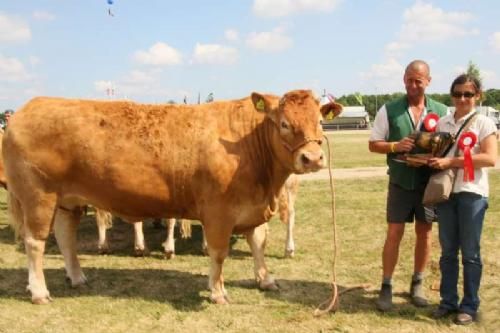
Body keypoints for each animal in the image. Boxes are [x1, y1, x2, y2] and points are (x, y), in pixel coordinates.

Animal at [3, 90, 342, 304]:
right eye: (284, 124)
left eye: (319, 121)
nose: (312, 159)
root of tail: (27, 109)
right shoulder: (219, 212)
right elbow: (218, 253)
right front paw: (217, 292)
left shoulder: (254, 207)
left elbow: (258, 243)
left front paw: (265, 279)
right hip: (38, 196)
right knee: (35, 243)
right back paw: (39, 292)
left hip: (67, 200)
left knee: (65, 238)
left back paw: (77, 277)